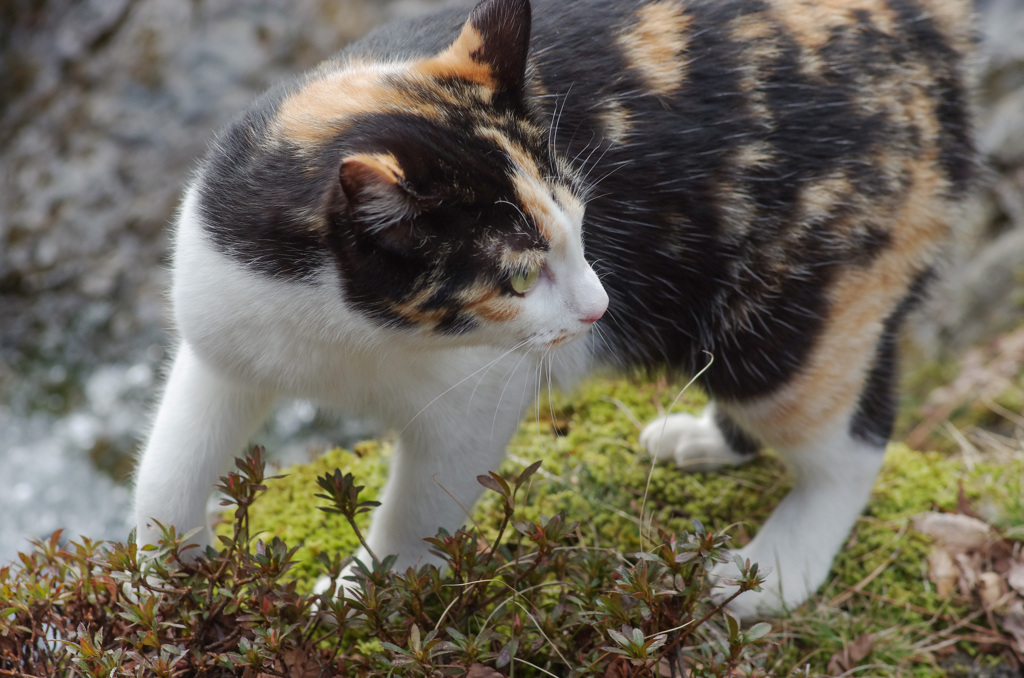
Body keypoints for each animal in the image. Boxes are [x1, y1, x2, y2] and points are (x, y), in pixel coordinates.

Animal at [136, 0, 974, 618]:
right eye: (517, 278)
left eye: (580, 225)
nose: (600, 306)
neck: (345, 329)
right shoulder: (222, 348)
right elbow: (168, 472)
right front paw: (166, 577)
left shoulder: (472, 407)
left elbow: (415, 519)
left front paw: (353, 602)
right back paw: (699, 442)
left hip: (788, 314)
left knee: (852, 439)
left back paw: (778, 566)